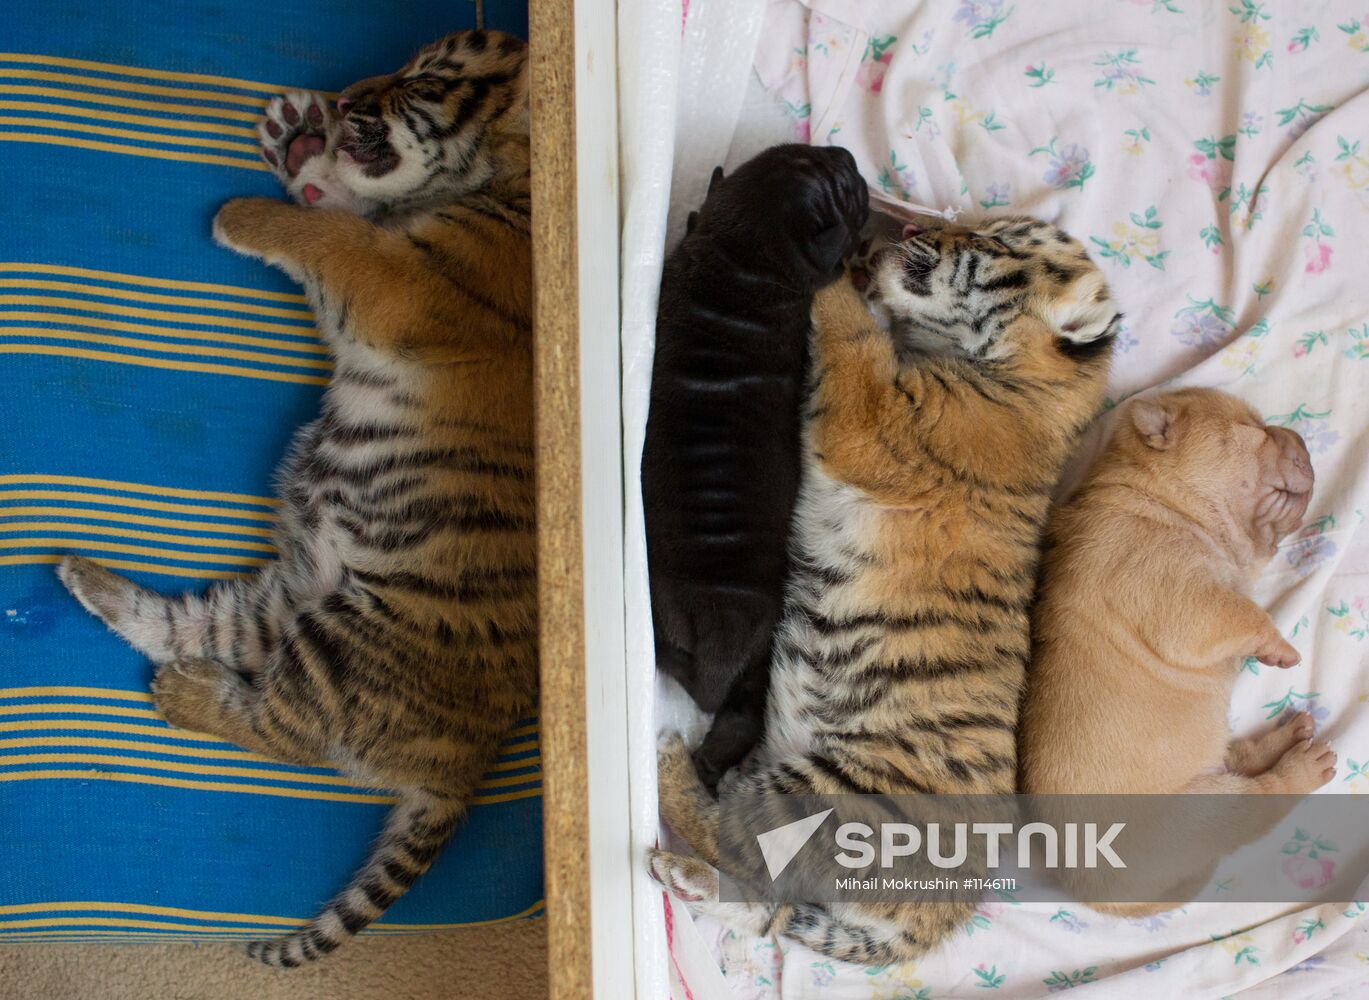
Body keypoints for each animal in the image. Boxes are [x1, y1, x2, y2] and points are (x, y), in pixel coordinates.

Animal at [57, 29, 533, 967]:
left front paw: (250, 210)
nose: (342, 98)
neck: (507, 181)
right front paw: (295, 145)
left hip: (353, 639)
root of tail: (466, 768)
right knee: (192, 626)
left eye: (425, 79)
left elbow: (332, 237)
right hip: (284, 602)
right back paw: (81, 577)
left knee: (283, 731)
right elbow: (337, 219)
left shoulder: (404, 287)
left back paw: (180, 696)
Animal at [649, 215, 1120, 965]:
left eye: (992, 240)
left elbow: (850, 334)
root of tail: (929, 922)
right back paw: (685, 879)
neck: (1022, 382)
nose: (910, 225)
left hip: (831, 794)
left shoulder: (873, 420)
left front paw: (842, 271)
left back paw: (668, 770)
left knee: (736, 839)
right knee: (767, 903)